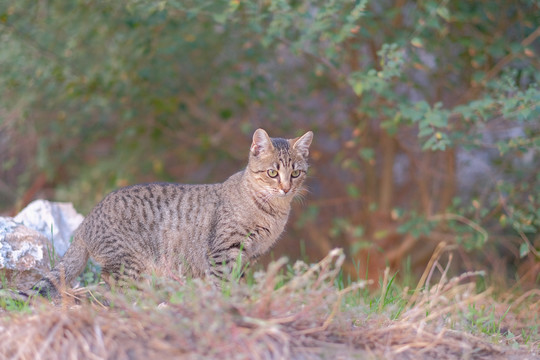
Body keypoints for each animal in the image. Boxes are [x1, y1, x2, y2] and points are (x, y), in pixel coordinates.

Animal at [31, 128, 314, 296]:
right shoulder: (224, 249)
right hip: (129, 260)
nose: (286, 188)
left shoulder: (250, 255)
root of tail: (87, 220)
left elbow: (239, 279)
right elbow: (223, 281)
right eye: (272, 173)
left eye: (296, 173)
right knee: (110, 279)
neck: (272, 212)